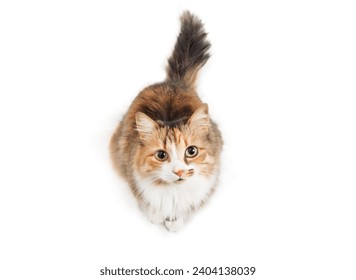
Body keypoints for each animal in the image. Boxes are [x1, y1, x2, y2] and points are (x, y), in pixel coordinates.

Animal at [111, 10, 222, 232]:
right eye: (161, 155)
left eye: (191, 151)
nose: (179, 171)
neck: (173, 192)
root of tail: (173, 82)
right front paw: (155, 215)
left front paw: (175, 221)